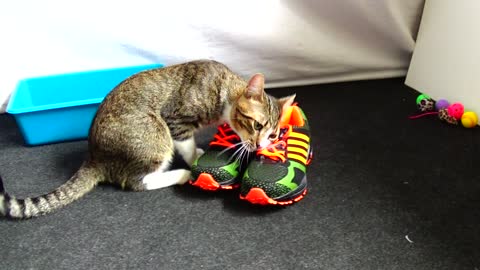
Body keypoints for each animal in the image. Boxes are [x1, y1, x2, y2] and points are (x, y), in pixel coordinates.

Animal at [0, 60, 294, 218]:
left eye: (273, 134)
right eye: (256, 124)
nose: (261, 145)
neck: (223, 90)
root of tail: (93, 156)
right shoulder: (175, 120)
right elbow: (186, 145)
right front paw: (195, 161)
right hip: (154, 133)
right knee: (135, 181)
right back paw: (180, 175)